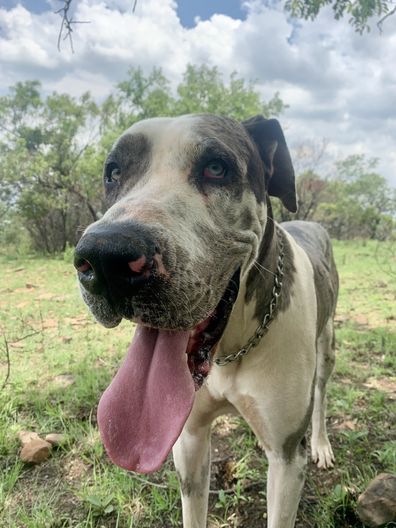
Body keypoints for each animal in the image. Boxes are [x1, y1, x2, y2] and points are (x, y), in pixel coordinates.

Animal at [73, 113, 338, 524]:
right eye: (113, 173)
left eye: (216, 168)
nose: (105, 259)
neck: (231, 349)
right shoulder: (189, 439)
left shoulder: (286, 460)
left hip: (327, 348)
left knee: (322, 392)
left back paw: (322, 443)